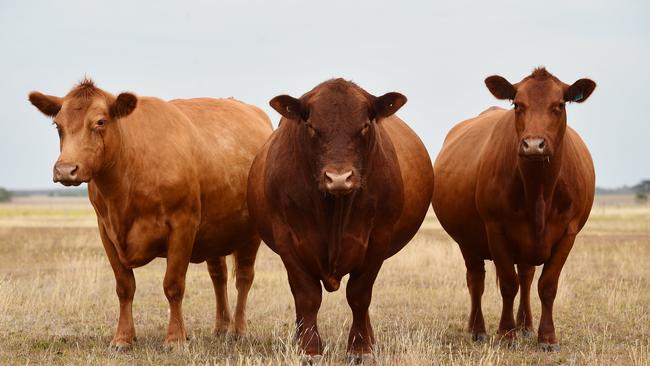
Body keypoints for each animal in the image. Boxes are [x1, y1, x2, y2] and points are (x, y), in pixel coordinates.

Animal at [27, 80, 270, 348]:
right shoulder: (106, 230)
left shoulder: (182, 224)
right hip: (215, 231)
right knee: (219, 276)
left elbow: (173, 285)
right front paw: (123, 338)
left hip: (250, 234)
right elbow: (124, 287)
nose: (65, 170)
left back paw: (239, 330)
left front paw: (175, 339)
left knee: (244, 278)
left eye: (100, 121)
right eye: (57, 125)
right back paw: (220, 327)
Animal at [246, 78, 432, 362]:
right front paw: (310, 350)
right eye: (312, 126)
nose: (339, 178)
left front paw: (360, 348)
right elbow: (307, 297)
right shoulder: (286, 239)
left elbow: (359, 295)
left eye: (365, 126)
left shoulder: (378, 238)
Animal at [430, 68, 592, 352]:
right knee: (476, 280)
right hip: (467, 240)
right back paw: (478, 329)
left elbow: (547, 286)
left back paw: (525, 326)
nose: (534, 144)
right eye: (518, 105)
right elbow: (508, 284)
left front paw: (547, 338)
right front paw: (506, 334)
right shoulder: (495, 230)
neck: (539, 191)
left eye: (559, 105)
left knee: (526, 277)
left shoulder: (568, 234)